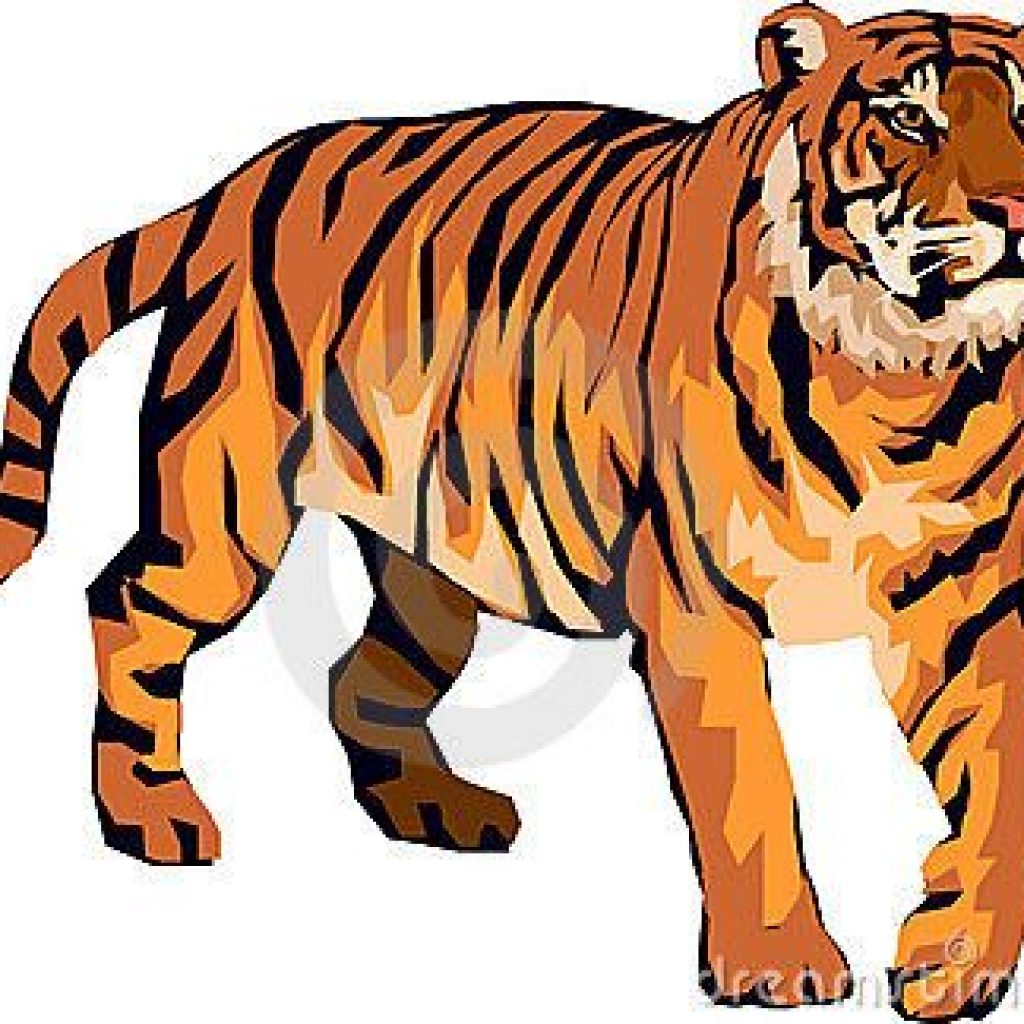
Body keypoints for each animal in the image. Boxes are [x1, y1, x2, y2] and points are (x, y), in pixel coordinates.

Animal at [3, 2, 1024, 1017]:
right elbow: (749, 788)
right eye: (910, 119)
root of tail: (231, 188)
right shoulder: (699, 608)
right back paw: (150, 811)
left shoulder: (969, 607)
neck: (900, 382)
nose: (1014, 216)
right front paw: (778, 964)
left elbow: (995, 781)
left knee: (356, 675)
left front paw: (958, 961)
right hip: (229, 509)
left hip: (433, 572)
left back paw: (435, 807)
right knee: (126, 604)